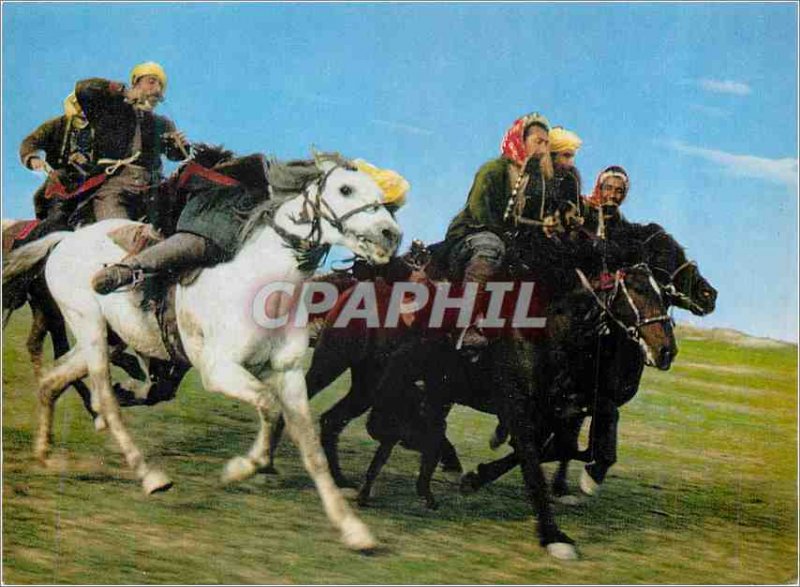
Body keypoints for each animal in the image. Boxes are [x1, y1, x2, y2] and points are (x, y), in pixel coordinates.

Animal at [7, 155, 400, 552]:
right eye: (346, 189)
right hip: (89, 329)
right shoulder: (219, 370)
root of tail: (65, 239)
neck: (261, 287)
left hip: (106, 338)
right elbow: (269, 407)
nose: (390, 234)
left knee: (51, 381)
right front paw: (241, 468)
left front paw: (352, 528)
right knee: (104, 399)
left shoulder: (288, 374)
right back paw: (148, 474)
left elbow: (310, 447)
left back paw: (45, 455)